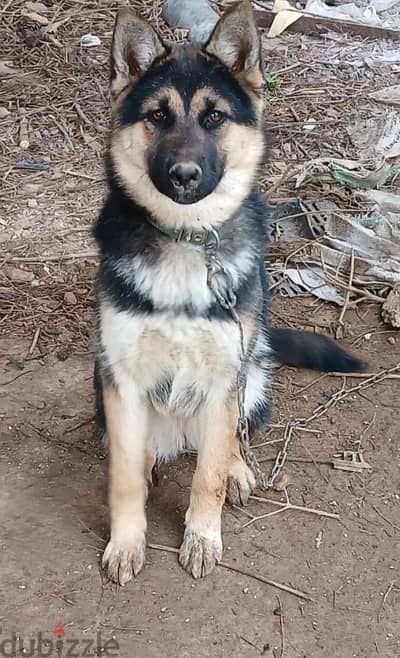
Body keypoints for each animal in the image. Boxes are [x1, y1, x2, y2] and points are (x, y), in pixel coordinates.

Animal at [93, 1, 362, 584]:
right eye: (158, 116)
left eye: (214, 117)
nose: (184, 175)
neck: (186, 237)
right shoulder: (120, 378)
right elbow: (122, 477)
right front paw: (127, 542)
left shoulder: (224, 376)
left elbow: (209, 475)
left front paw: (202, 535)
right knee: (149, 452)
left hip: (251, 374)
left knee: (228, 438)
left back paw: (238, 468)